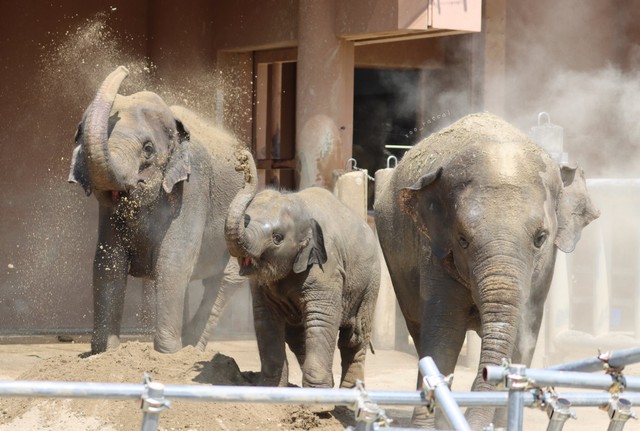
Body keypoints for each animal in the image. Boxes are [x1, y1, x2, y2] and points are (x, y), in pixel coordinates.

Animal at [67, 66, 251, 354]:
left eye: (148, 149)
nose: (123, 69)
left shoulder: (193, 186)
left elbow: (173, 261)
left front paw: (167, 354)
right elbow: (108, 261)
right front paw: (105, 352)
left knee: (225, 280)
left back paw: (191, 349)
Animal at [224, 152, 380, 394]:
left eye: (277, 238)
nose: (243, 160)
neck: (302, 208)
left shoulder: (327, 269)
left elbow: (322, 319)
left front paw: (317, 400)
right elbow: (266, 321)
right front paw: (269, 390)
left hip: (370, 282)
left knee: (354, 337)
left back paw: (349, 395)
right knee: (297, 336)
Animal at [376, 111, 600, 428]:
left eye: (541, 238)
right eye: (462, 240)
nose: (482, 376)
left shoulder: (545, 268)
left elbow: (524, 332)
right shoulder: (434, 250)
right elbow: (443, 332)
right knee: (418, 328)